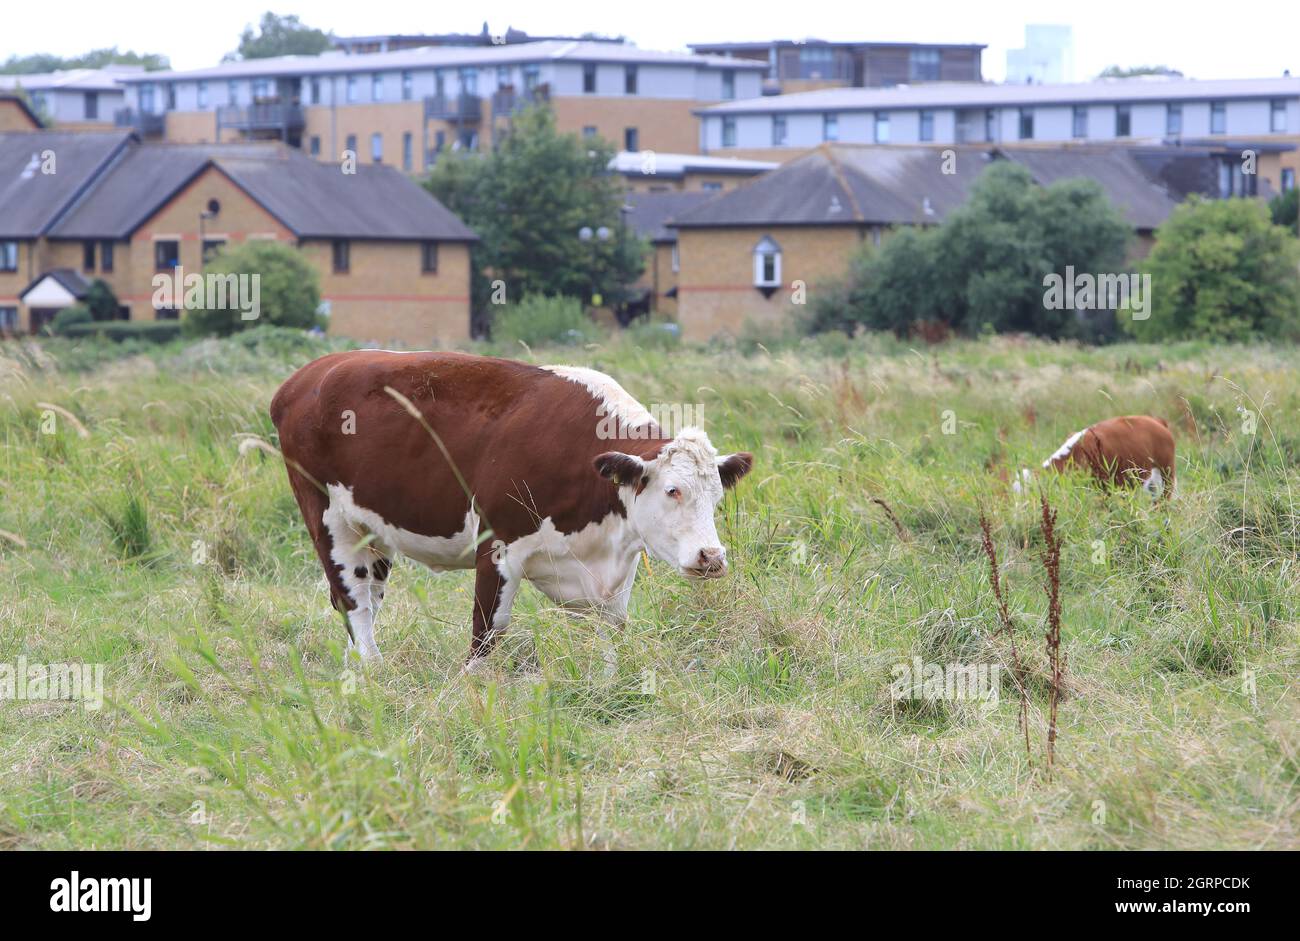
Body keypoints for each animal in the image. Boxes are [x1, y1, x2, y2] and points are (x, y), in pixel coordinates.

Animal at [270, 350, 759, 670]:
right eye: (672, 490)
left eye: (715, 498)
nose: (711, 557)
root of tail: (310, 375)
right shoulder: (498, 544)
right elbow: (488, 629)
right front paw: (472, 687)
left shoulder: (618, 566)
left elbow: (612, 629)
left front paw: (611, 680)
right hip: (330, 519)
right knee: (353, 600)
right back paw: (374, 670)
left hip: (374, 530)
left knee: (369, 595)